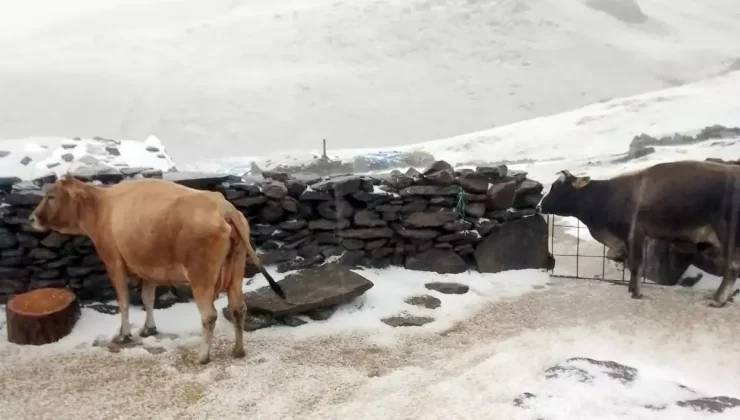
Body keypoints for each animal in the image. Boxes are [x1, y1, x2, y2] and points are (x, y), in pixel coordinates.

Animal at [27, 174, 286, 364]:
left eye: (50, 196)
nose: (31, 218)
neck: (102, 208)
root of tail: (223, 207)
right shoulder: (147, 268)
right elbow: (147, 298)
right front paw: (148, 328)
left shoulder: (113, 262)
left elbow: (124, 302)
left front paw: (124, 334)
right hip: (236, 269)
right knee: (238, 308)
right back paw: (238, 350)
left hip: (200, 275)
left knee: (209, 315)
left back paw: (202, 357)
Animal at [536, 159, 740, 306]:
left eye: (556, 187)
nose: (538, 206)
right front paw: (631, 289)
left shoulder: (635, 233)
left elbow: (636, 264)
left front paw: (636, 293)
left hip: (727, 233)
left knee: (732, 268)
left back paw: (718, 300)